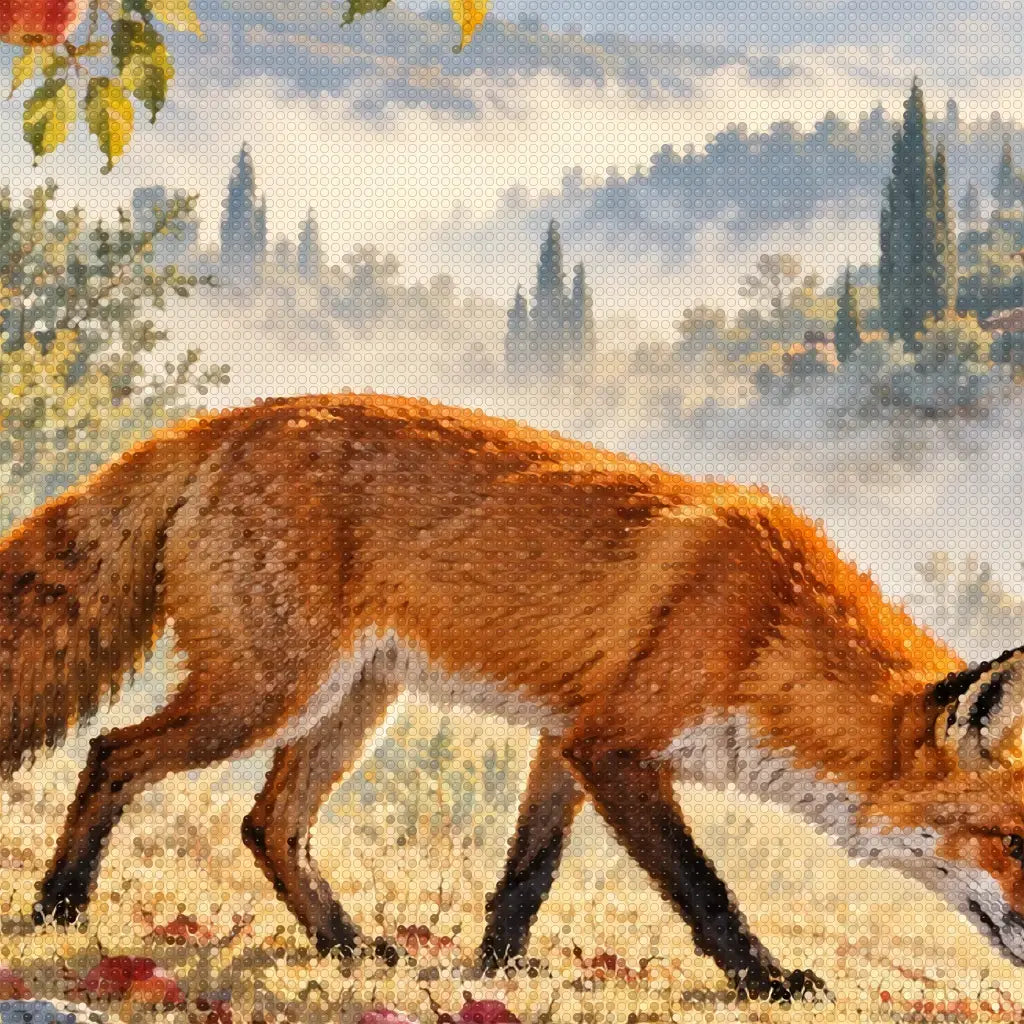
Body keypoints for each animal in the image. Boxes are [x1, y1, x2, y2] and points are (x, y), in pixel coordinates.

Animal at [2, 392, 1024, 1002]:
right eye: (1012, 842)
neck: (766, 626)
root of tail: (229, 419)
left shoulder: (567, 736)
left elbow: (526, 874)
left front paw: (500, 971)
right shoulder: (615, 746)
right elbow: (705, 887)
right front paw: (766, 982)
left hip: (352, 703)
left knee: (269, 824)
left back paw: (347, 946)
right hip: (262, 694)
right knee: (113, 753)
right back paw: (60, 908)